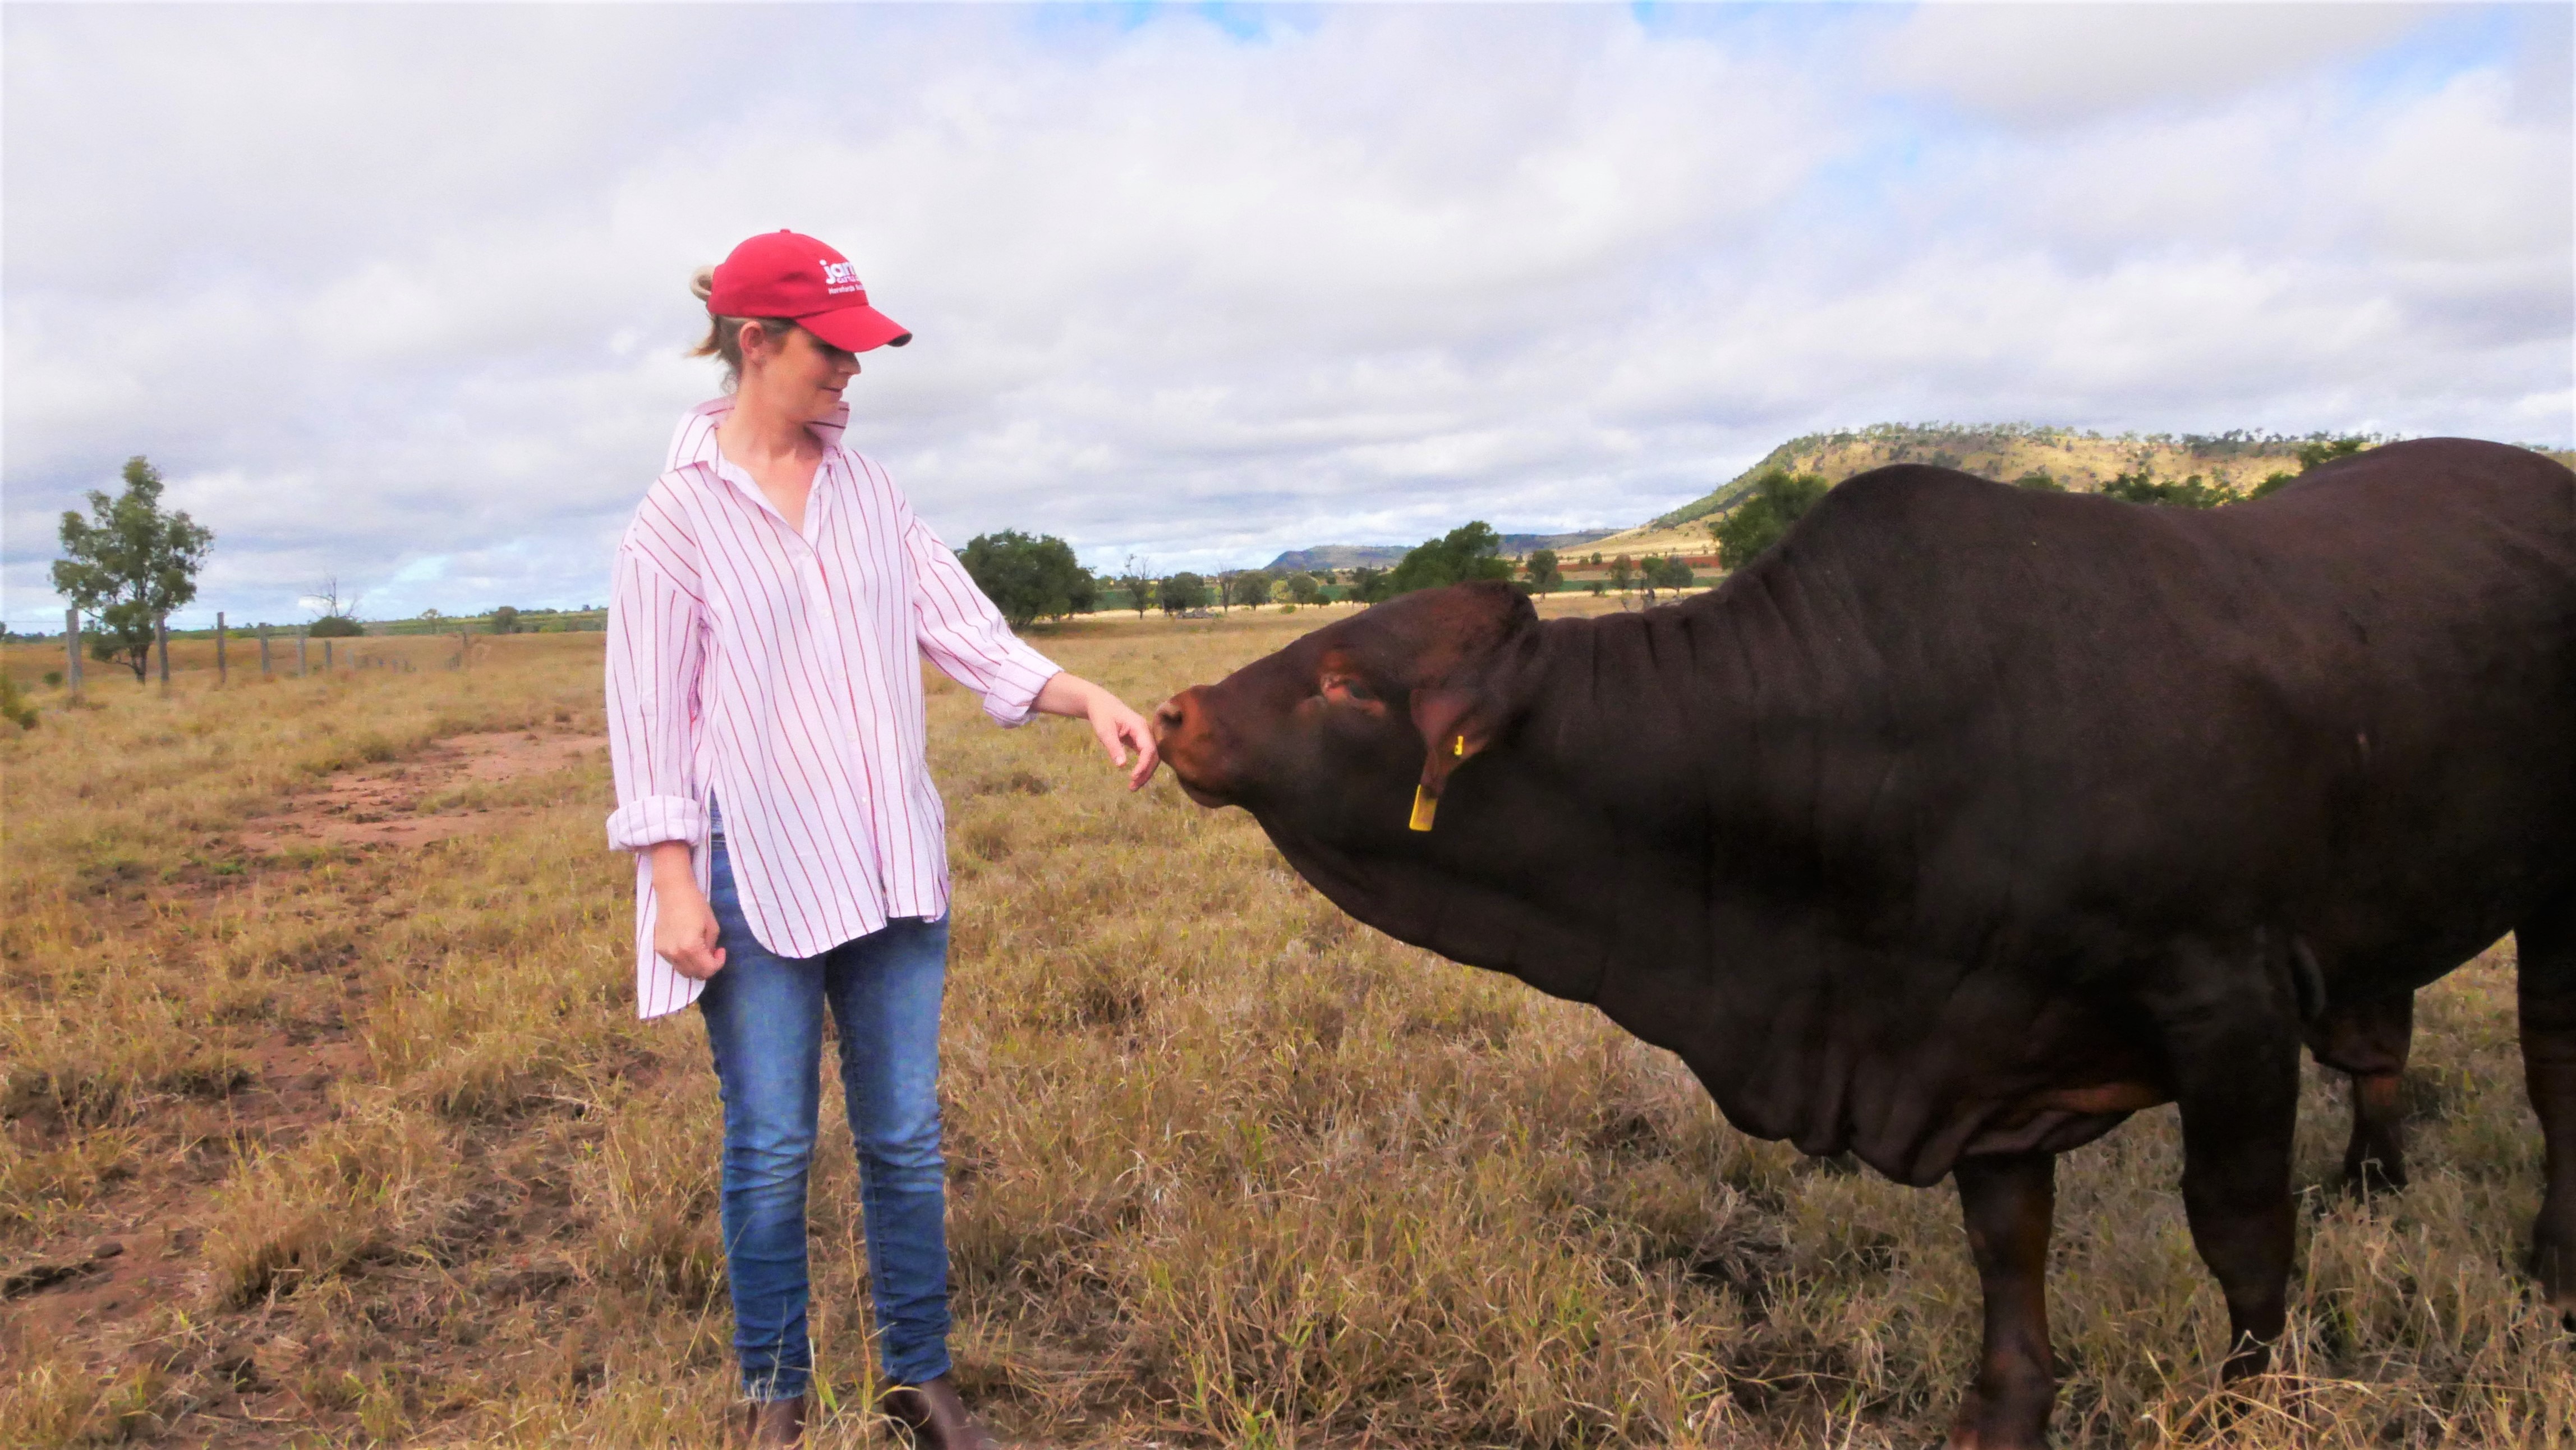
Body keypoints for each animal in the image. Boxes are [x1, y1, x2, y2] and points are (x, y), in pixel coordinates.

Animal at [1150, 438, 2576, 1449]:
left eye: (1346, 683)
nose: (1172, 714)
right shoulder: (1981, 1032)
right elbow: (2007, 1241)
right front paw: (2003, 1413)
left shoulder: (2225, 997)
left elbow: (2239, 1227)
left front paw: (2252, 1404)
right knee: (2382, 1041)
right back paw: (2380, 1178)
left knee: (2552, 1072)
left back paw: (2553, 1265)